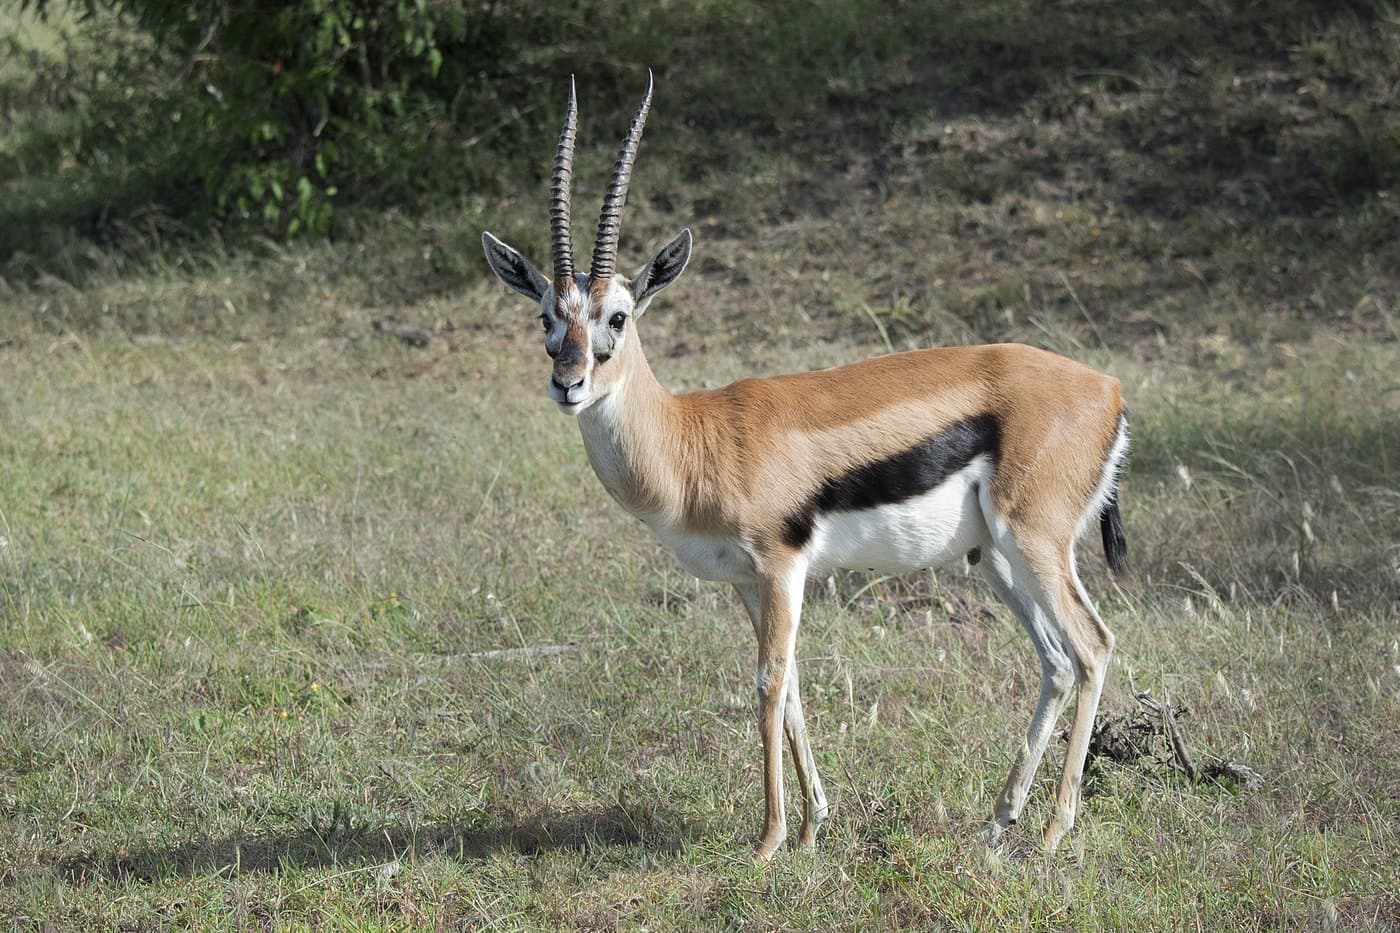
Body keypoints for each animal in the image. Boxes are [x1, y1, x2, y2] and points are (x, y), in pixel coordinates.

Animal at [481, 73, 1130, 862]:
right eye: (546, 315)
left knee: (1093, 647)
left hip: (1035, 543)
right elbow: (790, 688)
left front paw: (768, 841)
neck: (694, 439)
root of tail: (1108, 390)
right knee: (1057, 660)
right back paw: (997, 819)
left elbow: (767, 682)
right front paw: (816, 823)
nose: (568, 382)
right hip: (997, 558)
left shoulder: (782, 567)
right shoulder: (747, 582)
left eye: (619, 316)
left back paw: (1052, 832)